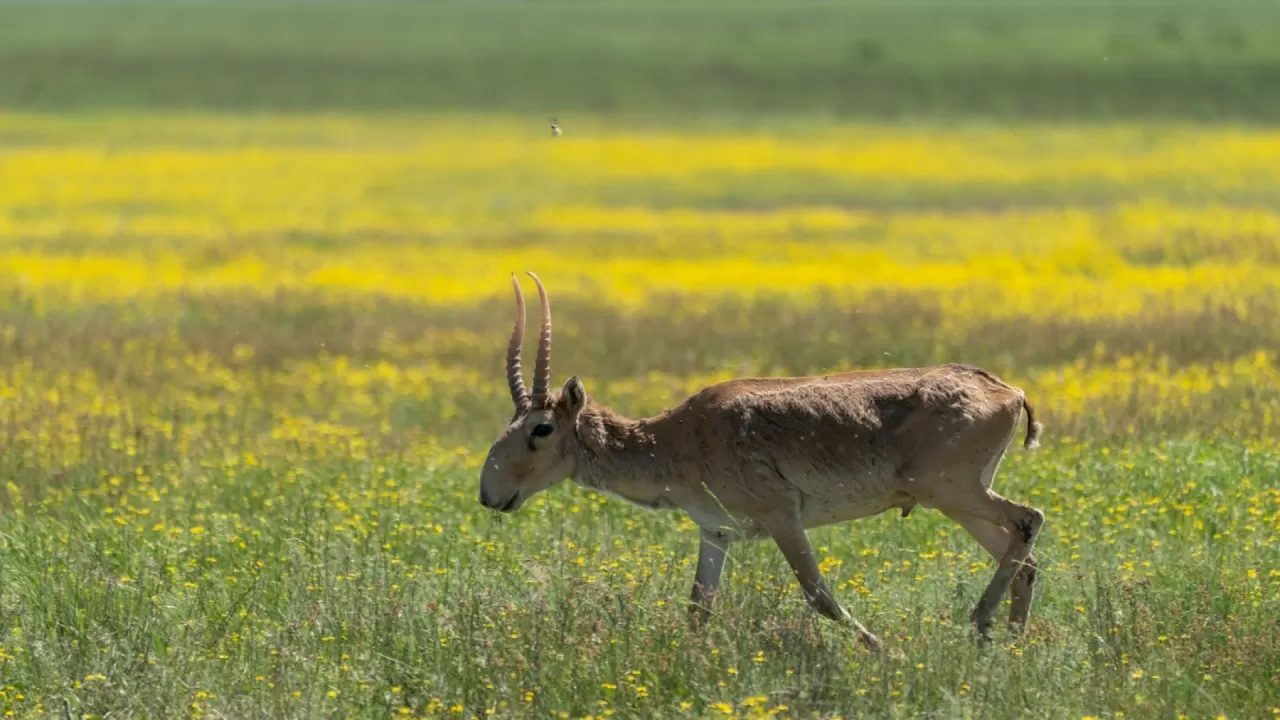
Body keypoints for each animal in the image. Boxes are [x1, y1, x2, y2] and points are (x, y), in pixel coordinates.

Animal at [476, 271, 1044, 648]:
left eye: (541, 427)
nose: (489, 494)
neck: (683, 436)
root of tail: (1008, 390)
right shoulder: (715, 531)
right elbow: (698, 607)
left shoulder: (781, 517)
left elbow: (819, 595)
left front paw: (884, 651)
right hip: (957, 501)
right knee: (1023, 556)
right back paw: (1007, 644)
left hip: (952, 491)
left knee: (1029, 519)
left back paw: (982, 623)